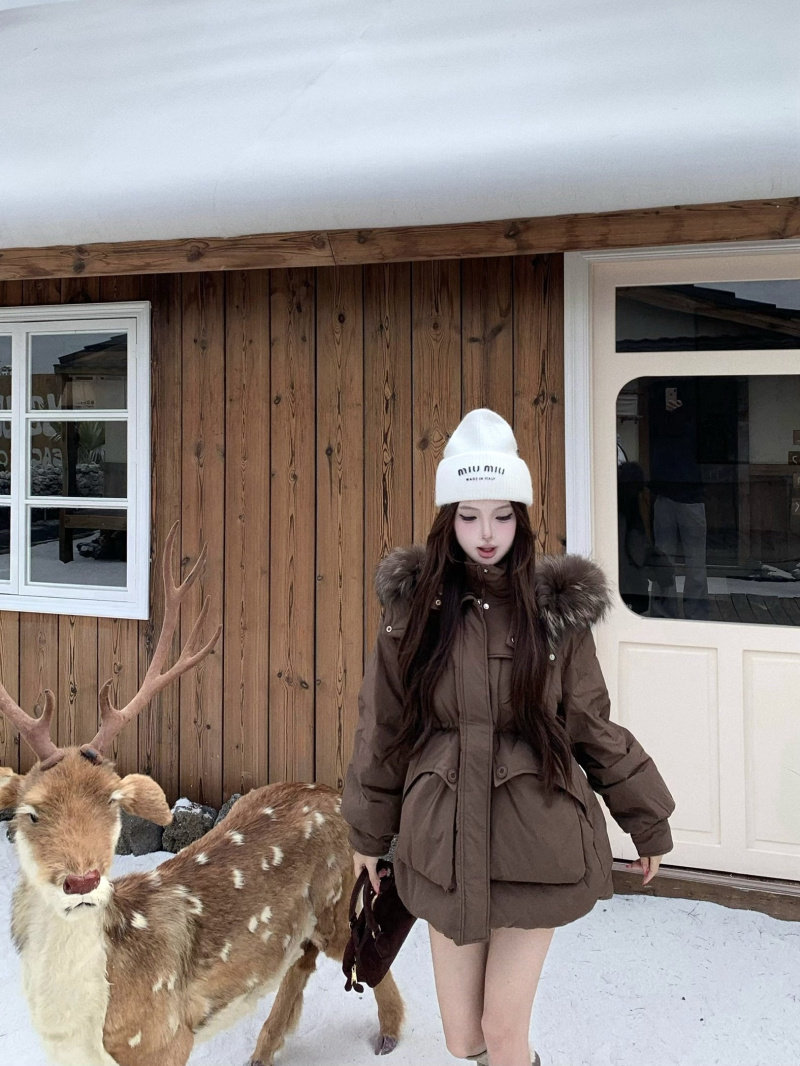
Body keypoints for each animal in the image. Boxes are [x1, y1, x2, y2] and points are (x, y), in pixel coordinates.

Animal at [0, 523, 404, 1066]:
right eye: (31, 812)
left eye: (112, 802)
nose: (82, 880)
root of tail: (334, 796)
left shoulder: (165, 1038)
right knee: (298, 965)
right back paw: (264, 1050)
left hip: (336, 901)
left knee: (357, 952)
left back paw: (388, 1036)